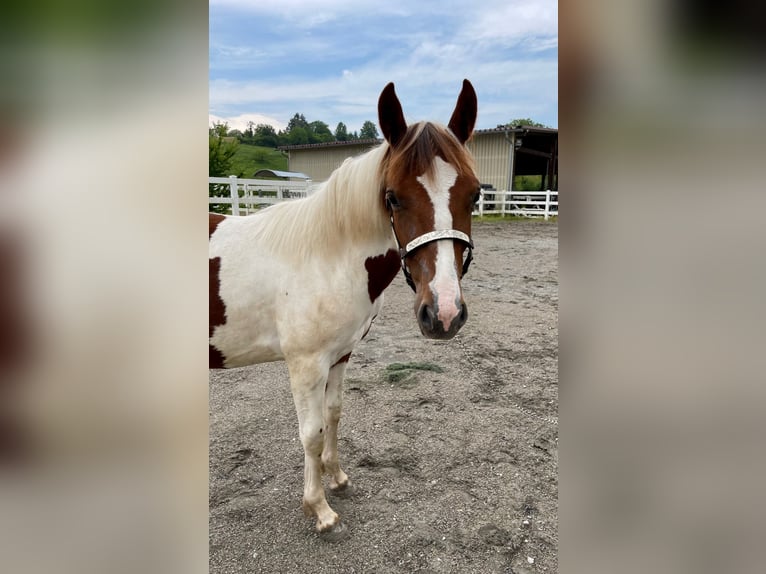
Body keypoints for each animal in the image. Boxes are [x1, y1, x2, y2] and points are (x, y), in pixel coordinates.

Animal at [210, 79, 484, 536]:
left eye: (475, 195)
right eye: (392, 198)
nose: (444, 314)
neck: (324, 256)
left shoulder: (340, 354)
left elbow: (335, 413)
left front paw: (336, 477)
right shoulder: (305, 365)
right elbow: (311, 432)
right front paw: (318, 509)